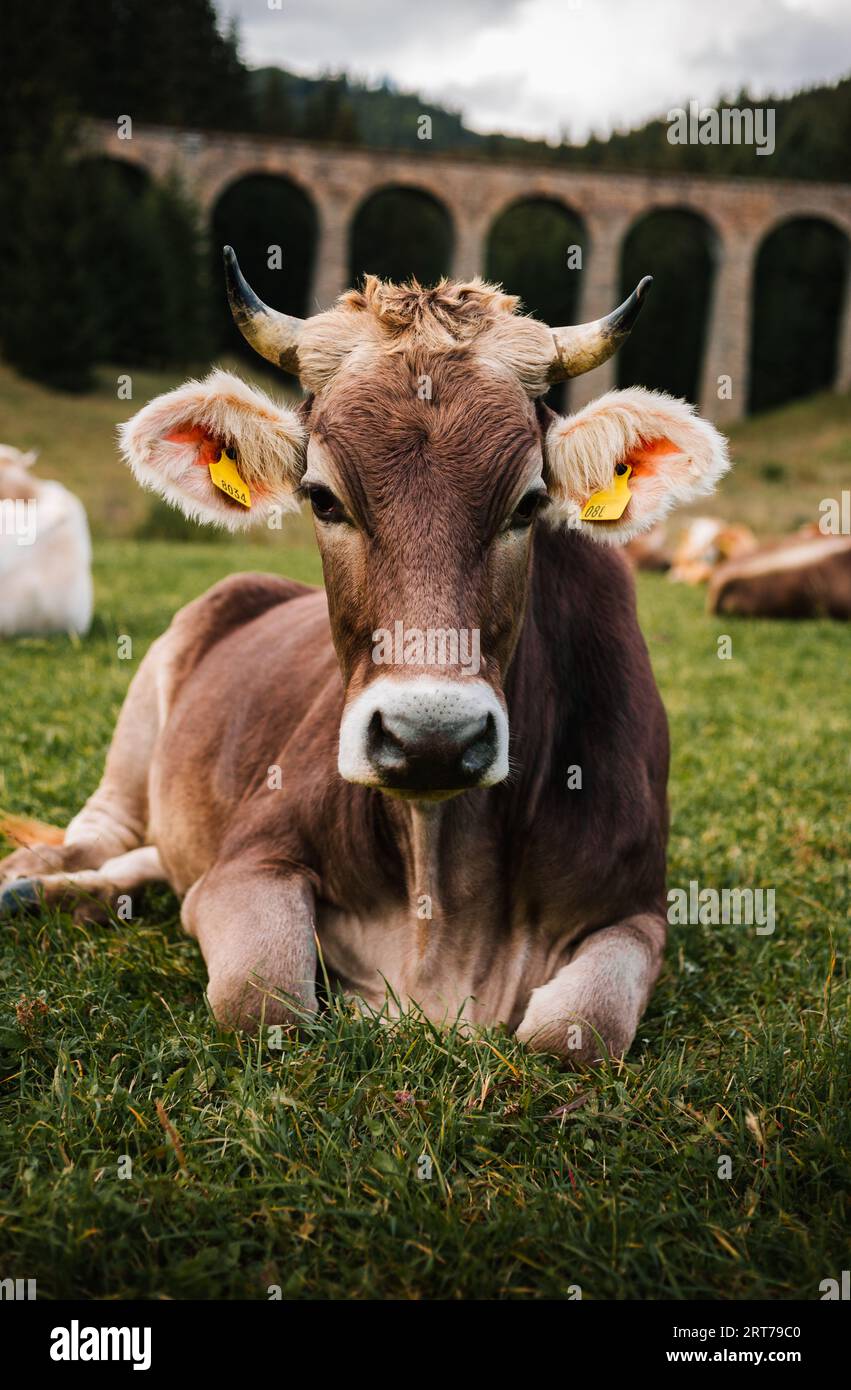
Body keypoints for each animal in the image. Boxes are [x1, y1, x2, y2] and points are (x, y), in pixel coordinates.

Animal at [0, 255, 728, 1061]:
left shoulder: (638, 911)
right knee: (105, 831)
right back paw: (40, 876)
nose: (431, 738)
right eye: (322, 498)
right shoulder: (247, 860)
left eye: (528, 503)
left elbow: (574, 1031)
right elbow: (265, 995)